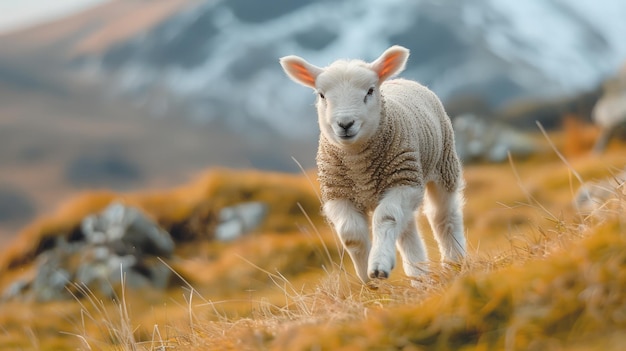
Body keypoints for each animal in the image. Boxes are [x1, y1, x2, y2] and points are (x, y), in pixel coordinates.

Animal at [280, 46, 466, 284]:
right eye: (321, 95)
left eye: (369, 91)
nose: (345, 124)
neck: (358, 166)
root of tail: (401, 79)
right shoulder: (337, 192)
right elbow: (351, 234)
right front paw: (368, 277)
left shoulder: (404, 180)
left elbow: (385, 218)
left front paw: (378, 266)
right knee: (406, 227)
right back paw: (419, 275)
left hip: (444, 164)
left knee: (443, 215)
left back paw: (454, 260)